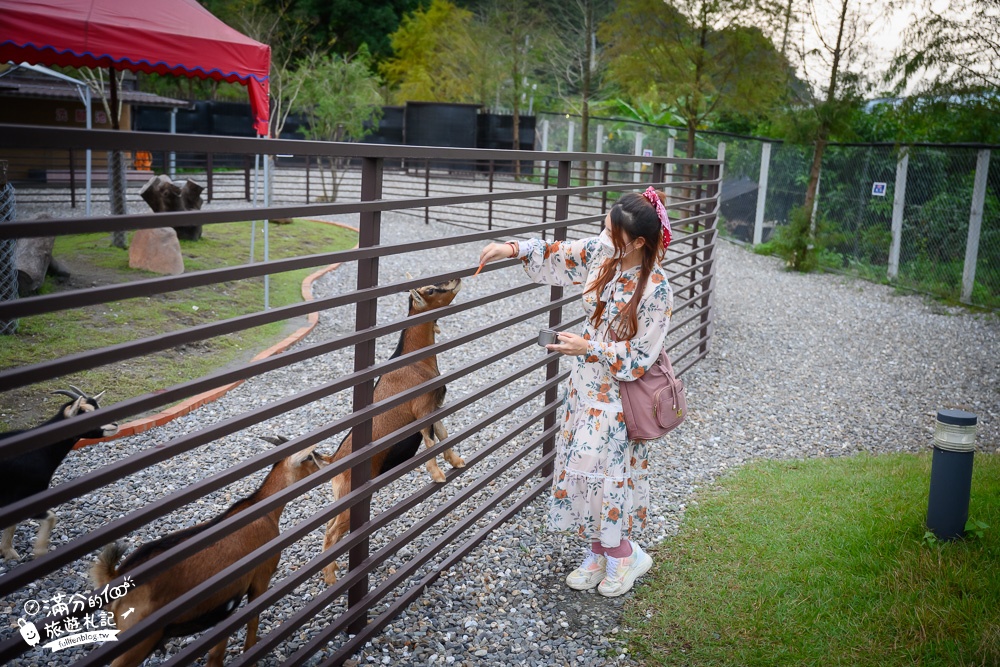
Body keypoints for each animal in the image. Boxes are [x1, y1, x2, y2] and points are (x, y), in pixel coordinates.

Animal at [91, 440, 332, 664]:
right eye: (310, 457)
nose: (327, 464)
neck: (264, 510)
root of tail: (114, 575)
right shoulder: (261, 577)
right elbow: (252, 622)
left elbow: (216, 653)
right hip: (135, 643)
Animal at [324, 280, 464, 584]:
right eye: (431, 291)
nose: (455, 281)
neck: (415, 361)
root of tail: (334, 463)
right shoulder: (421, 409)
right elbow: (429, 440)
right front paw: (437, 475)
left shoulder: (435, 406)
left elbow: (443, 434)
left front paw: (457, 461)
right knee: (332, 531)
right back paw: (330, 578)